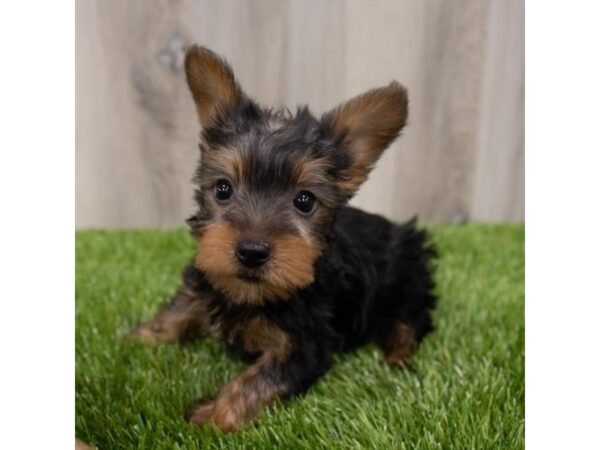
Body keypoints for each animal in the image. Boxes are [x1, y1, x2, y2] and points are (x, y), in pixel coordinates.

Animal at [130, 44, 436, 432]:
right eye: (223, 189)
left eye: (304, 201)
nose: (252, 251)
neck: (251, 294)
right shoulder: (202, 283)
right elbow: (176, 313)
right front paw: (136, 339)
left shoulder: (303, 345)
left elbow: (256, 380)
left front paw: (212, 416)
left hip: (410, 274)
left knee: (412, 319)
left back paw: (397, 357)